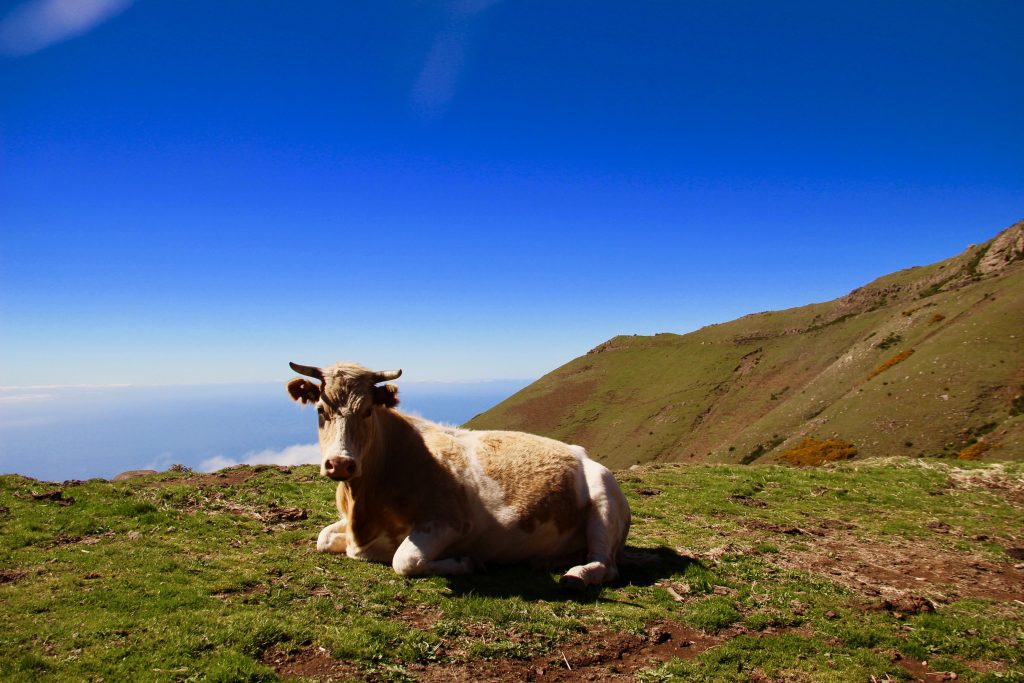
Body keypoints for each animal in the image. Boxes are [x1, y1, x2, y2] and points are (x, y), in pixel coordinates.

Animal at [284, 360, 626, 589]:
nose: (340, 463)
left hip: (603, 499)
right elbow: (323, 537)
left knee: (606, 564)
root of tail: (581, 453)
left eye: (367, 410)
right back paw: (546, 561)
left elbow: (404, 560)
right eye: (320, 410)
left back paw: (576, 576)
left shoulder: (450, 522)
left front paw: (467, 561)